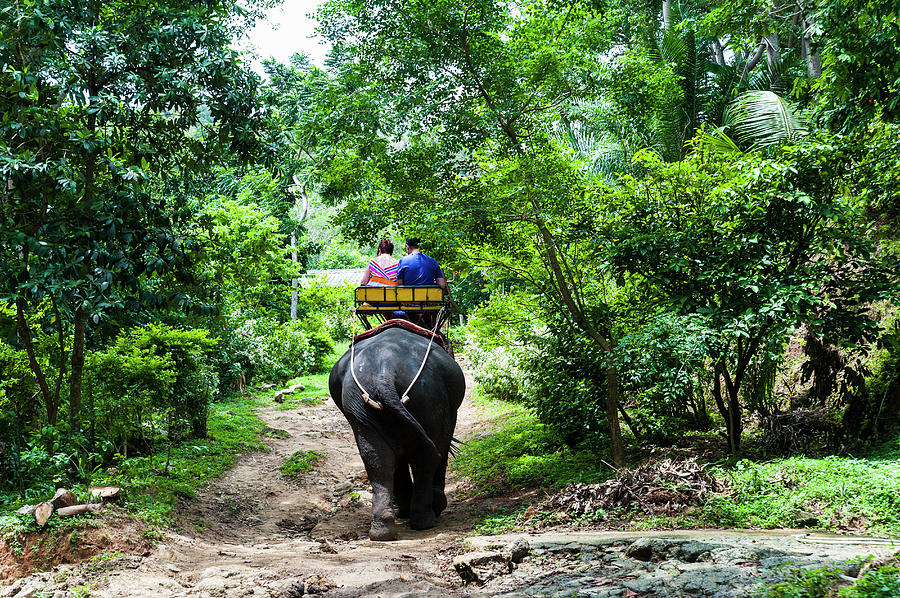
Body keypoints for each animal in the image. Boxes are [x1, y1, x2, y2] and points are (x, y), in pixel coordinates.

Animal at [328, 328, 464, 544]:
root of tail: (385, 373)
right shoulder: (450, 412)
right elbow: (442, 444)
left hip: (358, 407)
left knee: (377, 460)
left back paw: (382, 532)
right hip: (429, 399)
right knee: (427, 458)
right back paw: (425, 519)